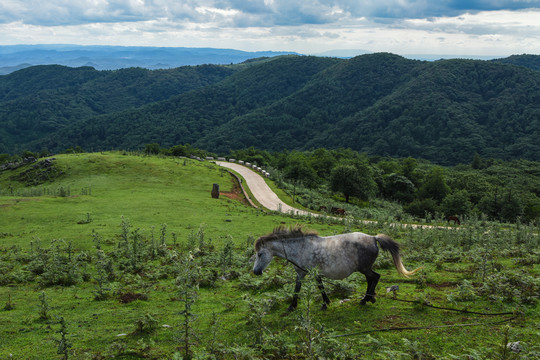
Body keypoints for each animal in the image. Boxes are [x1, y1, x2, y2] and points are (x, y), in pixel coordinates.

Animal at [253, 226, 422, 310]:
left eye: (260, 254)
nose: (255, 272)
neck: (301, 248)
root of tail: (373, 238)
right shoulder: (306, 273)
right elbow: (308, 287)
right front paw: (323, 302)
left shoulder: (308, 272)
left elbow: (310, 287)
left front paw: (294, 306)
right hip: (365, 269)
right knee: (372, 279)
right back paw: (369, 298)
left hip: (364, 268)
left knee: (375, 277)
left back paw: (366, 299)